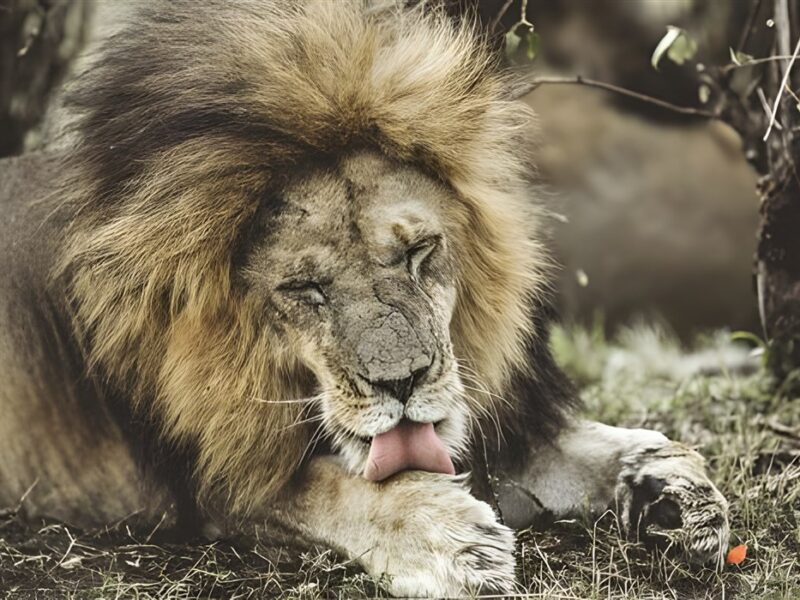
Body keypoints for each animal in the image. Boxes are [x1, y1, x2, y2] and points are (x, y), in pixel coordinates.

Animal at [0, 1, 729, 596]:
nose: (402, 383)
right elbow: (326, 488)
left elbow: (608, 444)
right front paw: (449, 537)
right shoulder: (212, 482)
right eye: (305, 289)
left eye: (418, 252)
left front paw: (675, 489)